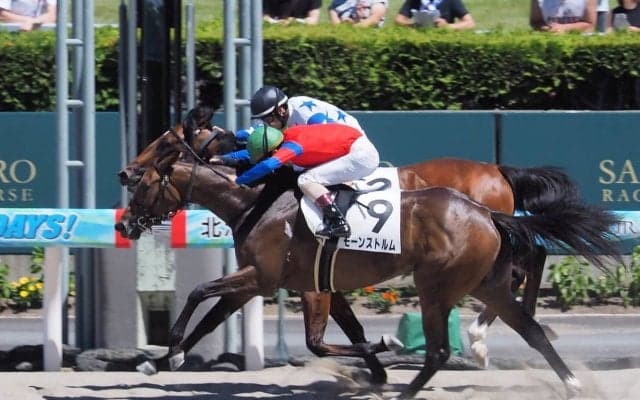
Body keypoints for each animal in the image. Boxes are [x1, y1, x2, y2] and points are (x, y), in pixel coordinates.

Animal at [115, 150, 621, 399]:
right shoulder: (279, 281)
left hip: (436, 286)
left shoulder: (267, 277)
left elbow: (203, 293)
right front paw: (166, 357)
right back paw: (570, 382)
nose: (123, 224)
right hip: (485, 283)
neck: (259, 202)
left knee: (442, 348)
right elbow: (214, 315)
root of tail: (484, 211)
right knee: (528, 326)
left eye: (146, 183)